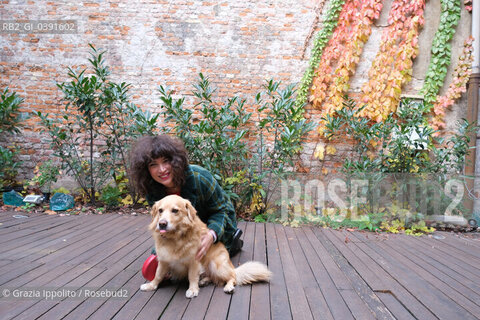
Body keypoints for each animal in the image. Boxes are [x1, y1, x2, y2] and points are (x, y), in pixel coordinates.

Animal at [141, 194, 272, 298]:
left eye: (175, 210)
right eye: (160, 210)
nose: (162, 224)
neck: (175, 238)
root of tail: (231, 266)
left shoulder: (194, 261)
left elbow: (192, 276)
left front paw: (193, 290)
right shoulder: (163, 260)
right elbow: (158, 275)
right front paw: (151, 285)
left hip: (216, 264)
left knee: (232, 277)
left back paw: (228, 287)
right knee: (213, 278)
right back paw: (204, 281)